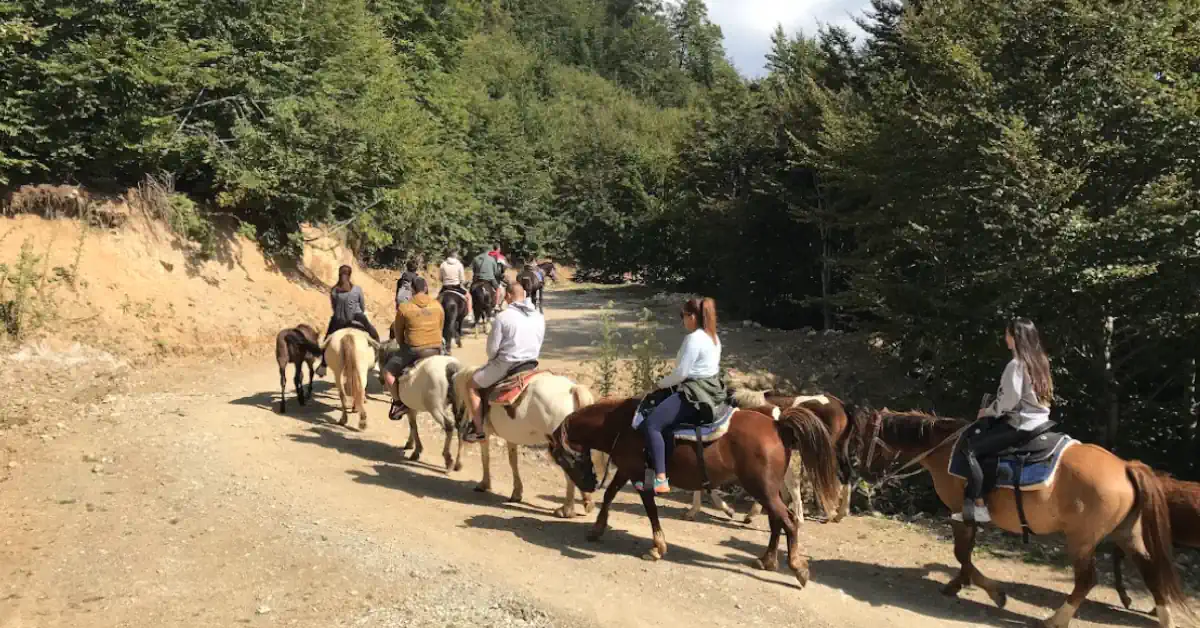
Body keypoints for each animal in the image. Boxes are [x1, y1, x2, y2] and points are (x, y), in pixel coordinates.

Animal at [451, 365, 600, 518]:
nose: (459, 421)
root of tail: (573, 389)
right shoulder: (511, 436)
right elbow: (513, 461)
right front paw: (516, 492)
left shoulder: (485, 433)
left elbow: (485, 458)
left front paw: (484, 484)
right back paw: (587, 502)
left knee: (570, 471)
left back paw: (566, 510)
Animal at [549, 401, 840, 588]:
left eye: (561, 458)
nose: (588, 484)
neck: (622, 424)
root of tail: (779, 425)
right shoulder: (627, 470)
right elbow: (610, 494)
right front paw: (597, 529)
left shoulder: (640, 476)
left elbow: (649, 509)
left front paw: (657, 548)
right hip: (767, 490)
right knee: (777, 520)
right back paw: (767, 560)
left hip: (762, 489)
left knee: (788, 521)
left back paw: (798, 568)